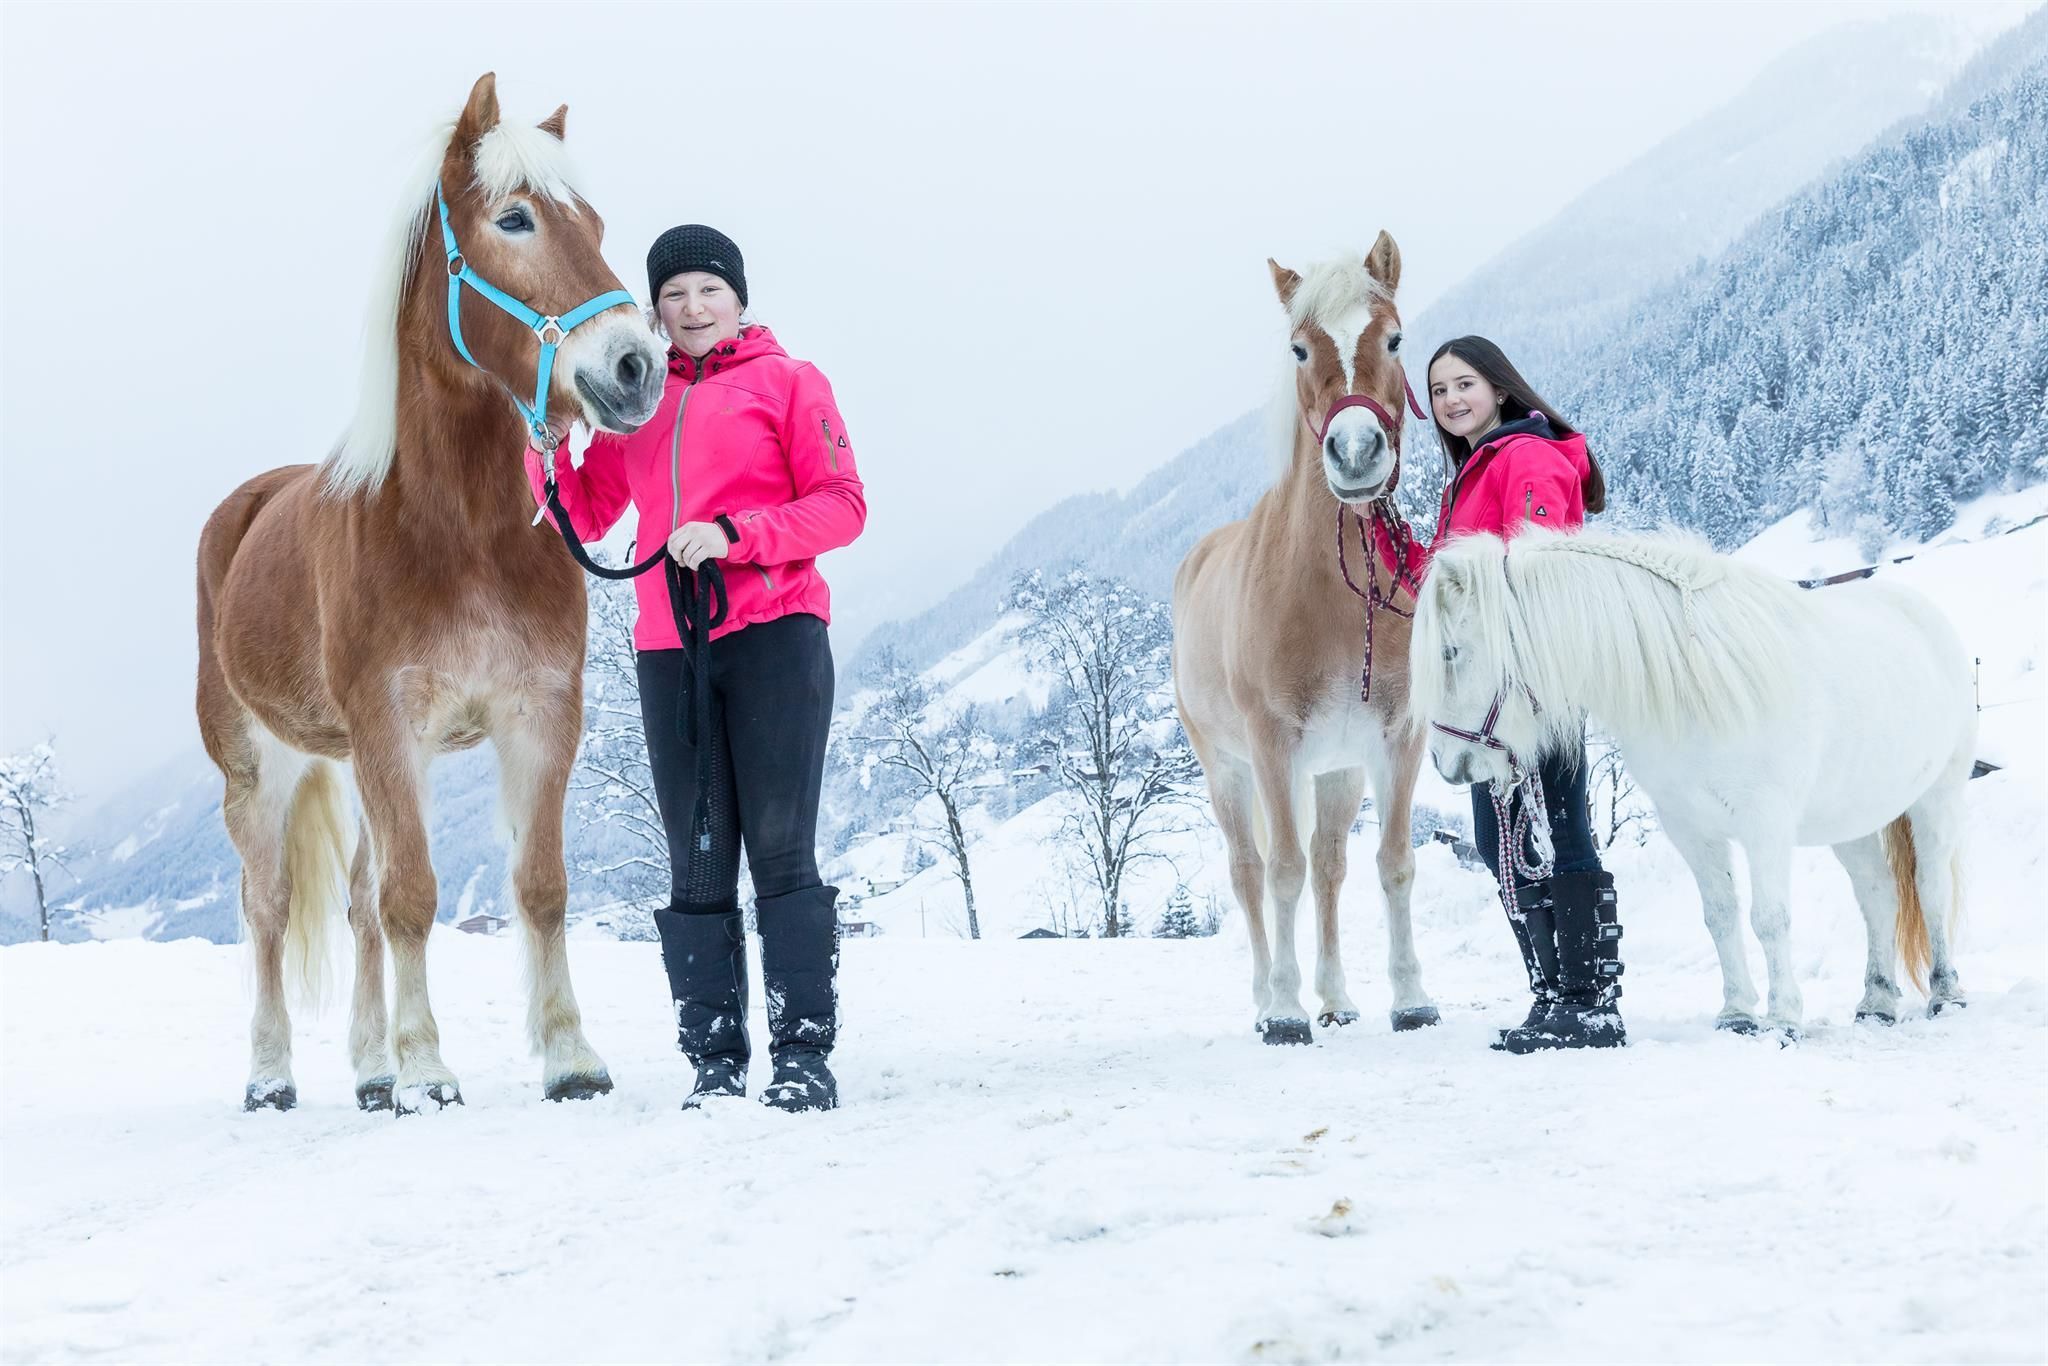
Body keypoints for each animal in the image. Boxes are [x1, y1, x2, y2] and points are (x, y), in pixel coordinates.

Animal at [195, 74, 666, 1113]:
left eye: (596, 222)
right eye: (515, 218)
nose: (636, 367)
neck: (460, 534)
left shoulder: (540, 713)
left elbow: (539, 884)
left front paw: (569, 1058)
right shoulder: (388, 727)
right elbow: (412, 897)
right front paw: (426, 1070)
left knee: (359, 901)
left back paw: (369, 1074)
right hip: (261, 769)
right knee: (270, 908)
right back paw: (273, 1076)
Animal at [1172, 234, 1441, 1044]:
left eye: (1395, 337)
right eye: (1297, 347)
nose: (1355, 455)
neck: (1331, 593)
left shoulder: (1396, 738)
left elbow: (1391, 862)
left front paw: (1410, 998)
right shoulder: (1272, 746)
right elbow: (1281, 871)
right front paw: (1288, 1012)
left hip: (1335, 771)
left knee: (1328, 867)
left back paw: (1338, 998)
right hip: (1230, 770)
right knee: (1250, 872)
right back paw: (1269, 998)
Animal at [1409, 527, 1975, 1034]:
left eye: (1451, 653)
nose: (1446, 761)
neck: (1698, 681)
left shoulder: (1766, 823)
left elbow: (1770, 917)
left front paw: (1784, 1017)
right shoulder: (1689, 827)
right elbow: (1721, 915)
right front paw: (1738, 1013)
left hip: (1938, 799)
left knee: (1931, 888)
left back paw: (1946, 994)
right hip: (1850, 819)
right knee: (1879, 894)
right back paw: (1877, 1002)